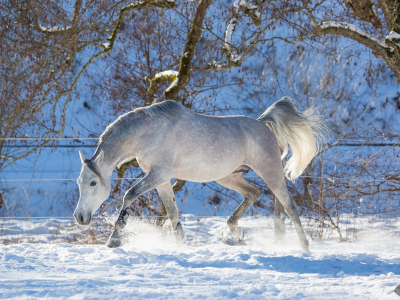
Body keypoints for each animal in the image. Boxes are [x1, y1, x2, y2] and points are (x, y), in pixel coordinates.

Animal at [74, 97, 324, 252]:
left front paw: (114, 239)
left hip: (270, 171)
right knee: (254, 193)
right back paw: (236, 233)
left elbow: (129, 194)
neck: (149, 132)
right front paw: (181, 245)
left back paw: (304, 247)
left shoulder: (159, 174)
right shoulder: (162, 179)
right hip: (227, 176)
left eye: (93, 183)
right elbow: (172, 212)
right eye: (79, 182)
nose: (80, 217)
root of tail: (263, 124)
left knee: (289, 206)